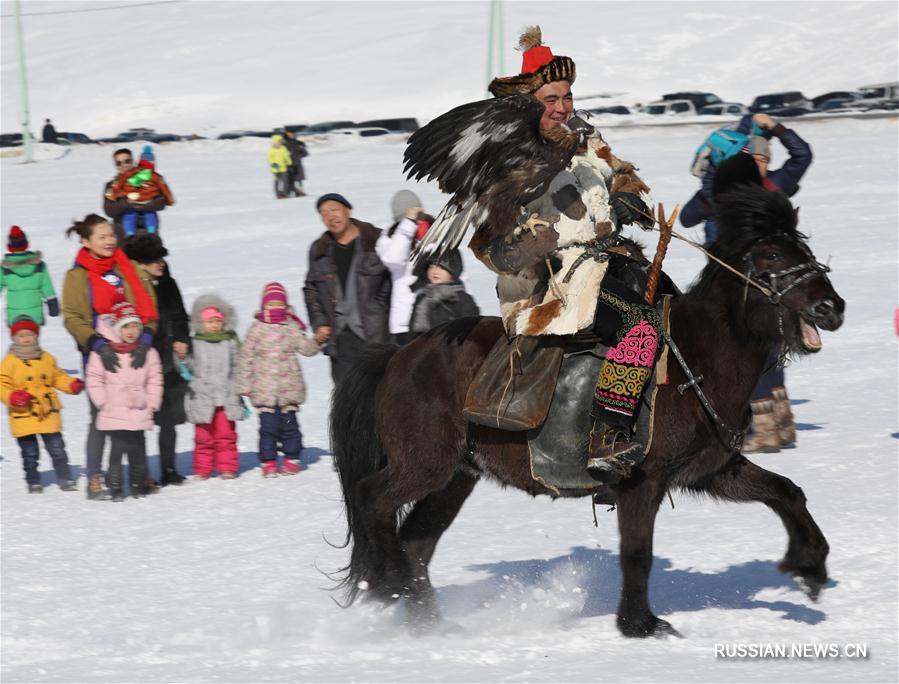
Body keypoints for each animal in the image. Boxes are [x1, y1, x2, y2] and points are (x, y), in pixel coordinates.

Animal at [330, 184, 844, 640]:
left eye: (803, 247)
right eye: (772, 256)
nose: (831, 307)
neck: (694, 357)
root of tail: (399, 355)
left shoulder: (712, 471)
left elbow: (785, 491)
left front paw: (812, 564)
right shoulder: (643, 481)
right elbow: (637, 553)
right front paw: (639, 624)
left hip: (456, 477)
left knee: (417, 541)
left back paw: (427, 622)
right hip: (425, 465)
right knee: (373, 498)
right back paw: (391, 584)